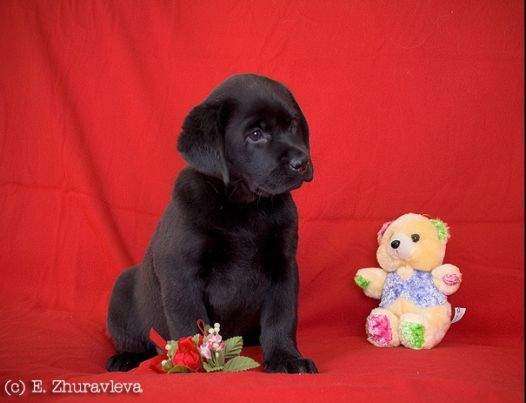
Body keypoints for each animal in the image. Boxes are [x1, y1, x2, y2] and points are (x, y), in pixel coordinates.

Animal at [107, 74, 318, 374]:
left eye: (292, 125)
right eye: (256, 134)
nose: (302, 162)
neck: (243, 207)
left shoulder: (283, 266)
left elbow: (281, 317)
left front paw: (286, 357)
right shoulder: (181, 271)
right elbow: (190, 322)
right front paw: (198, 364)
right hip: (122, 291)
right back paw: (125, 357)